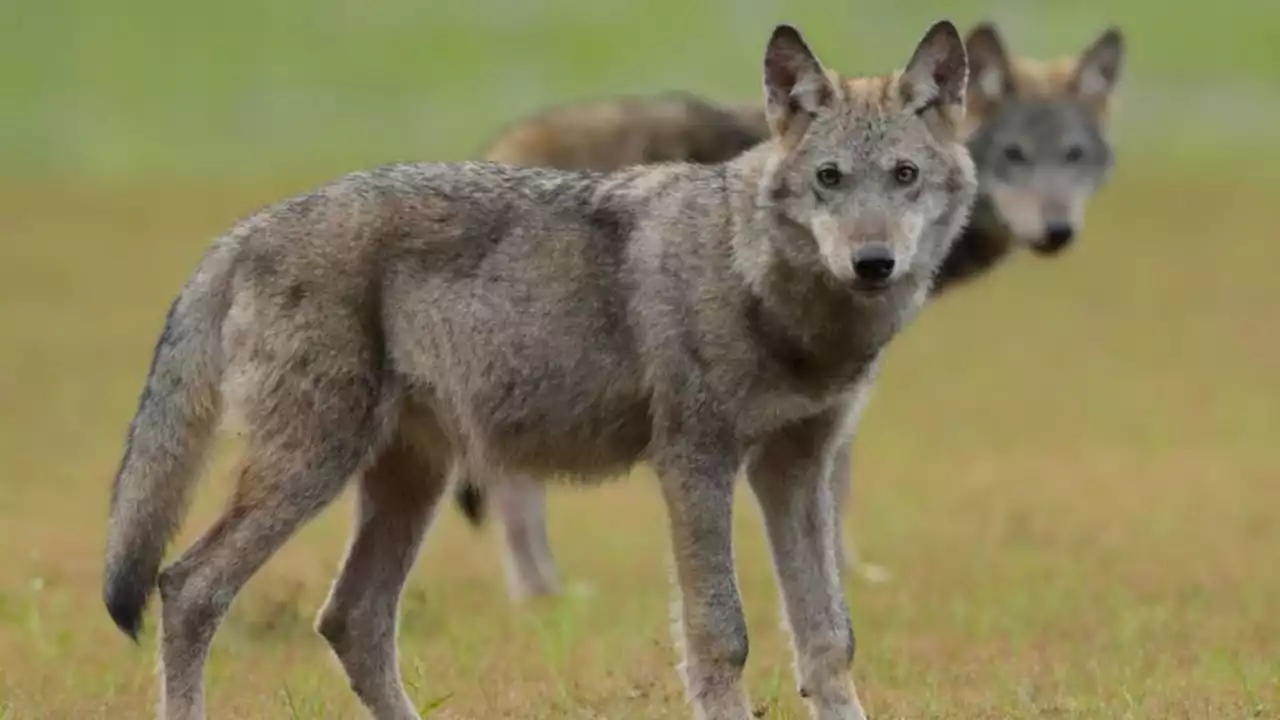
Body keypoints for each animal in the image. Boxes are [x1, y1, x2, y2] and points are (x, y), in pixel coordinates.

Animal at [104, 20, 972, 717]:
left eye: (904, 177)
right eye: (830, 179)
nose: (873, 262)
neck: (768, 291)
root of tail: (241, 233)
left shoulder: (796, 467)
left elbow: (829, 638)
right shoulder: (696, 463)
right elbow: (721, 635)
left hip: (407, 480)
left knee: (351, 620)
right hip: (313, 467)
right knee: (189, 588)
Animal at [455, 19, 1126, 599]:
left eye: (1073, 155)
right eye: (1015, 155)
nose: (1057, 232)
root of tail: (500, 142)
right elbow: (839, 481)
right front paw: (849, 572)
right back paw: (542, 594)